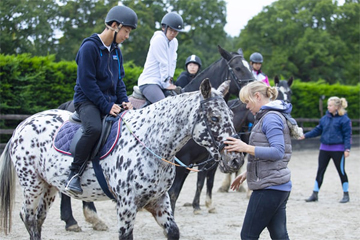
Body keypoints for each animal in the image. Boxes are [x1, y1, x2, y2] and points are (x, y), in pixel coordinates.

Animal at [0, 79, 245, 239]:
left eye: (232, 115)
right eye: (214, 118)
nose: (236, 160)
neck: (150, 142)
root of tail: (22, 125)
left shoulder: (159, 201)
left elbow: (174, 230)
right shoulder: (127, 206)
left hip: (48, 186)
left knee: (38, 219)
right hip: (32, 185)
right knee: (29, 218)